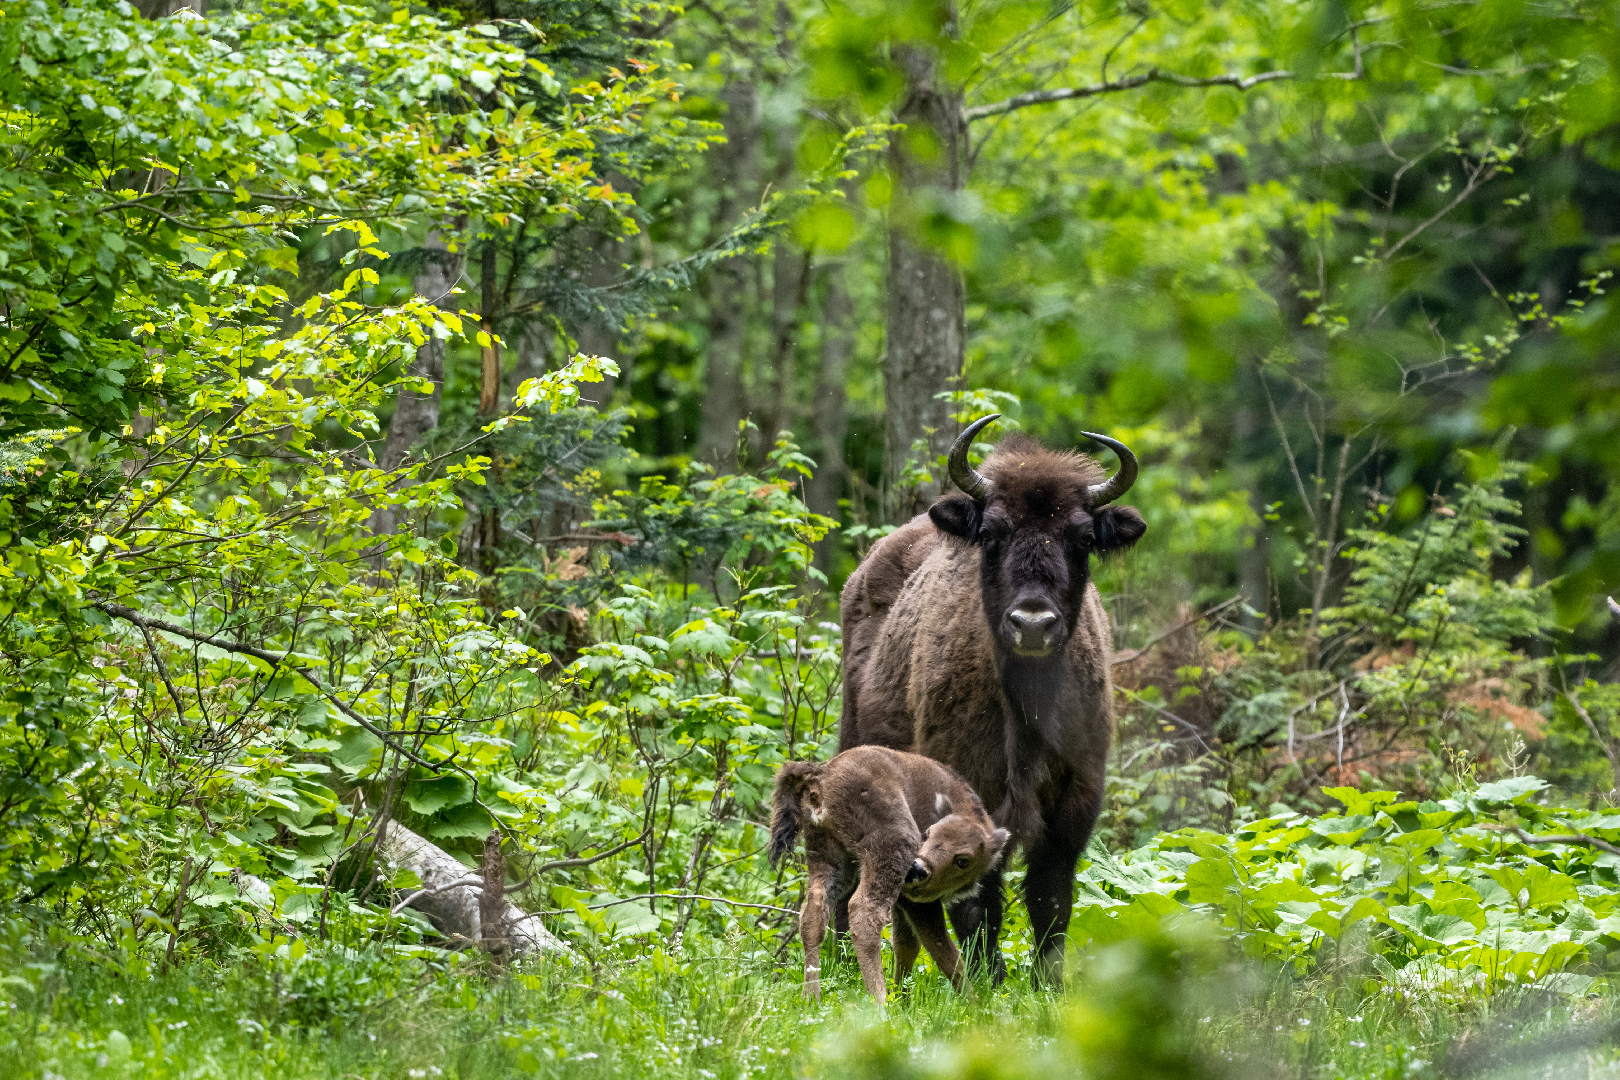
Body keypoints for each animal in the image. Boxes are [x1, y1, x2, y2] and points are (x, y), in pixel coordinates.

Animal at [764, 744, 1004, 1003]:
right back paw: (879, 1001)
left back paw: (812, 996)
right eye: (927, 833)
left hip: (829, 859)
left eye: (963, 860)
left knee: (813, 914)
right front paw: (975, 1003)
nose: (918, 869)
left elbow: (906, 945)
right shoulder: (916, 903)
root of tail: (821, 775)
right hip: (890, 849)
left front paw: (903, 999)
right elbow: (943, 950)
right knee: (864, 914)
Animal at [842, 414, 1146, 990]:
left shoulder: (1075, 802)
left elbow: (1050, 897)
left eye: (1082, 537)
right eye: (989, 533)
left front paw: (1048, 984)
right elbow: (977, 897)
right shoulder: (972, 791)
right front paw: (988, 978)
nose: (1032, 623)